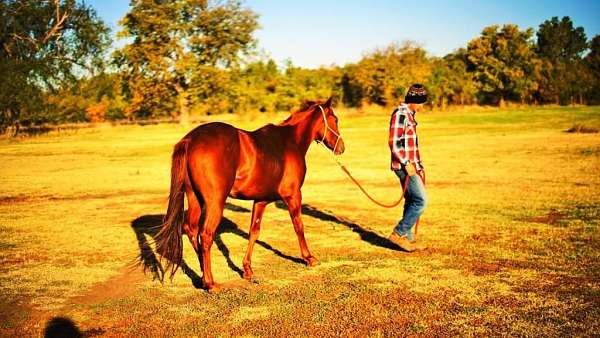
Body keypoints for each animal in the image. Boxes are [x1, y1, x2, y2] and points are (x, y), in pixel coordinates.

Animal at [155, 95, 344, 290]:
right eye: (335, 119)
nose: (341, 147)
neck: (290, 141)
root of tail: (190, 140)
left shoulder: (260, 200)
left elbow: (254, 232)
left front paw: (247, 270)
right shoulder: (293, 195)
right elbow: (298, 226)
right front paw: (309, 258)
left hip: (195, 198)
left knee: (191, 230)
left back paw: (202, 274)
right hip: (215, 202)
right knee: (206, 235)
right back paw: (210, 283)